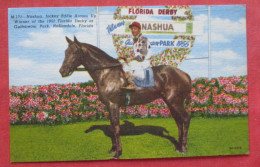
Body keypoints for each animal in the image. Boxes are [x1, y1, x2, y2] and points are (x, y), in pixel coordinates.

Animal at [59, 36, 193, 159]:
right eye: (66, 52)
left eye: (75, 52)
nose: (62, 71)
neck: (107, 73)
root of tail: (184, 74)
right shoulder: (109, 106)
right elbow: (112, 126)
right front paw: (113, 149)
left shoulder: (114, 105)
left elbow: (116, 128)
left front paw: (118, 153)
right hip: (171, 103)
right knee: (179, 122)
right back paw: (178, 146)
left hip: (175, 102)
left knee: (186, 119)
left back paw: (183, 147)